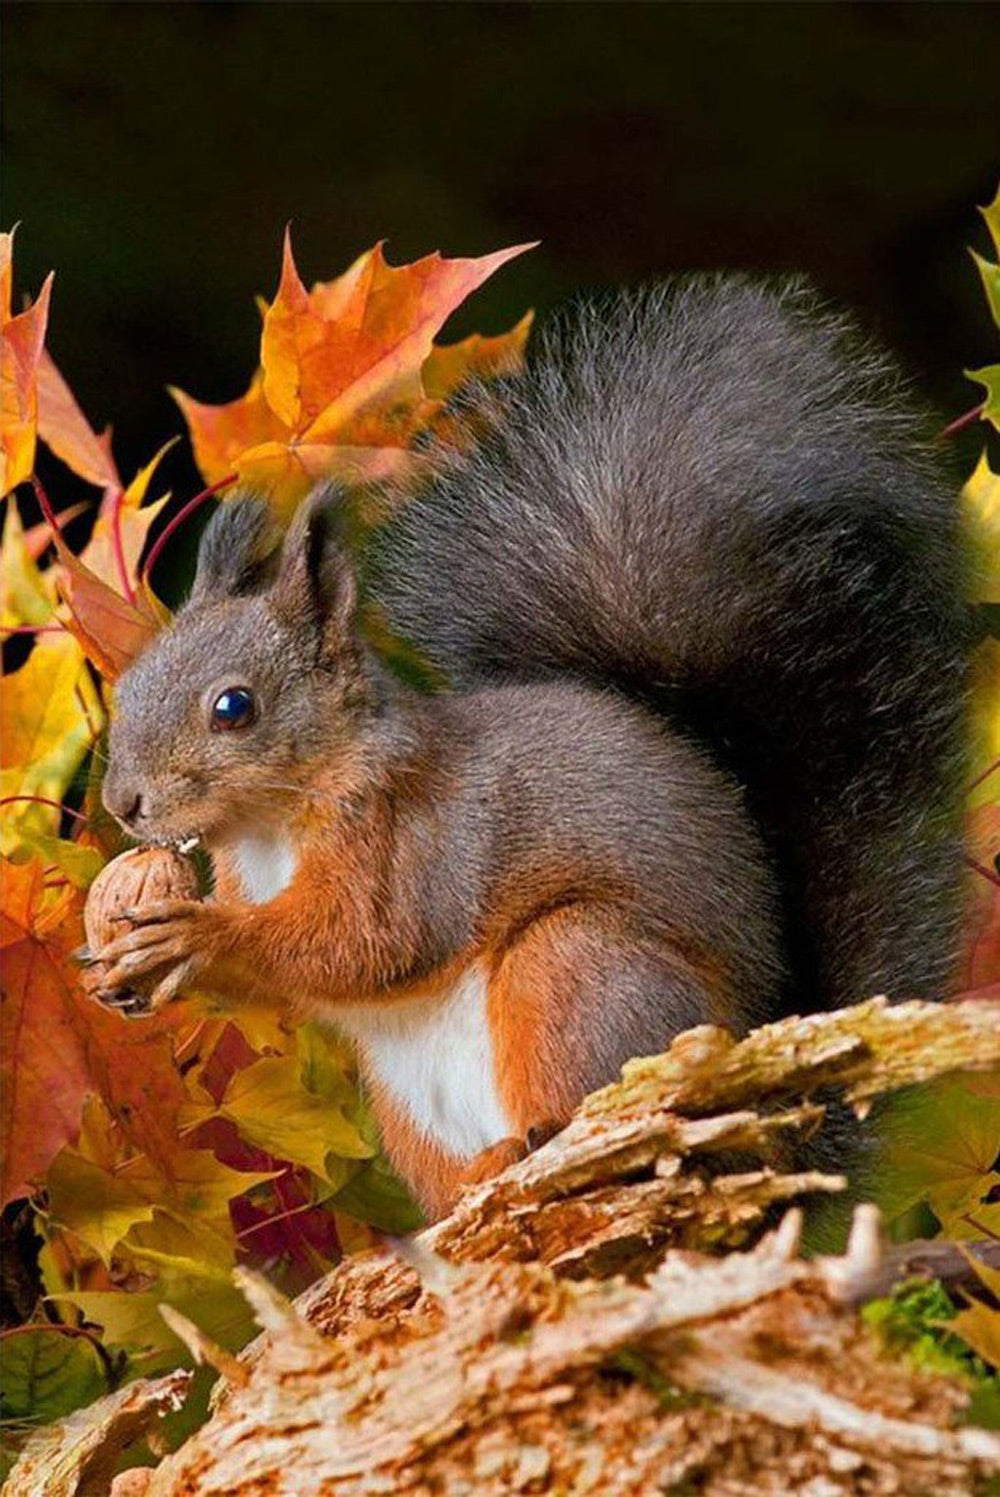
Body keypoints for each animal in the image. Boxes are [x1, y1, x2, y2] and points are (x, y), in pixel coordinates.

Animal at [94, 276, 969, 1219]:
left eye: (234, 707)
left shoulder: (413, 843)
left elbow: (367, 939)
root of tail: (772, 1129)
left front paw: (201, 935)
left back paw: (531, 1147)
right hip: (406, 1102)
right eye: (130, 681)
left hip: (577, 971)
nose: (122, 803)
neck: (271, 828)